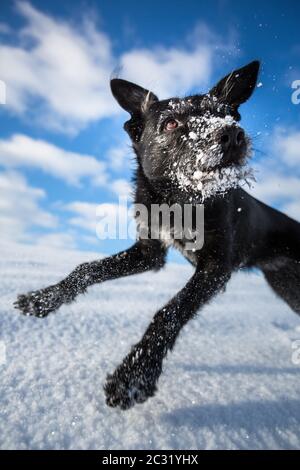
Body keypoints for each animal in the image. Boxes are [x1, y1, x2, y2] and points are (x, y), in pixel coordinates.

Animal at [15, 61, 300, 408]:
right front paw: (43, 298)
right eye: (171, 123)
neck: (179, 200)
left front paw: (134, 376)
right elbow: (87, 269)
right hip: (287, 287)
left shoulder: (217, 267)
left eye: (225, 114)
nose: (232, 133)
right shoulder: (149, 254)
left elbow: (170, 311)